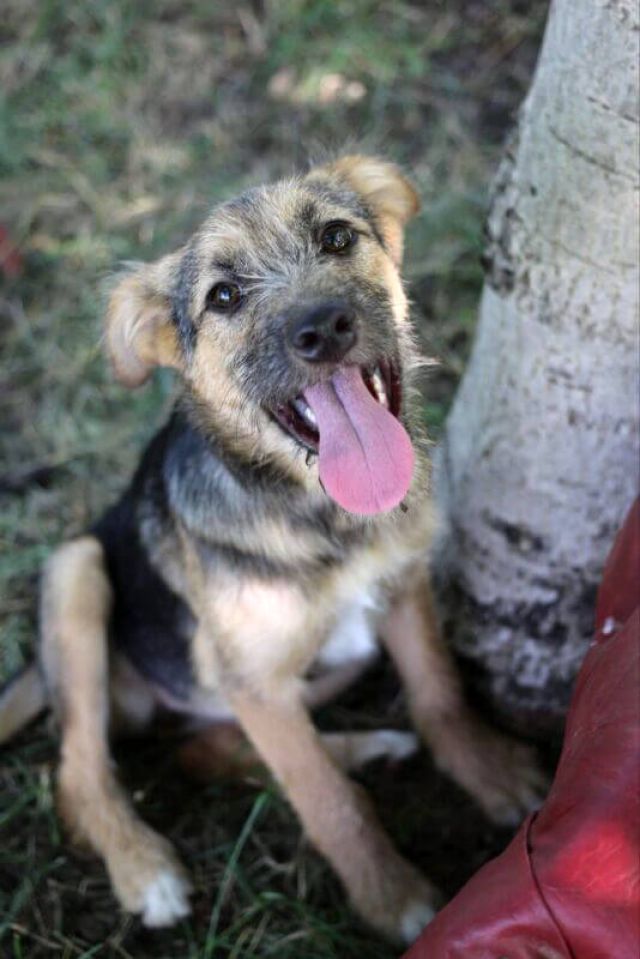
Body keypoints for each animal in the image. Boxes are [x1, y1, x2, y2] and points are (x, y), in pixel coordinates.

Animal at [0, 158, 544, 944]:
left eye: (338, 237)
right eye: (223, 296)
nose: (322, 329)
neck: (321, 516)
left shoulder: (403, 586)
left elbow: (439, 692)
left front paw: (492, 771)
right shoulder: (253, 679)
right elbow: (323, 797)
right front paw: (392, 897)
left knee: (205, 751)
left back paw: (370, 749)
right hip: (78, 570)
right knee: (80, 768)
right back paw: (144, 867)